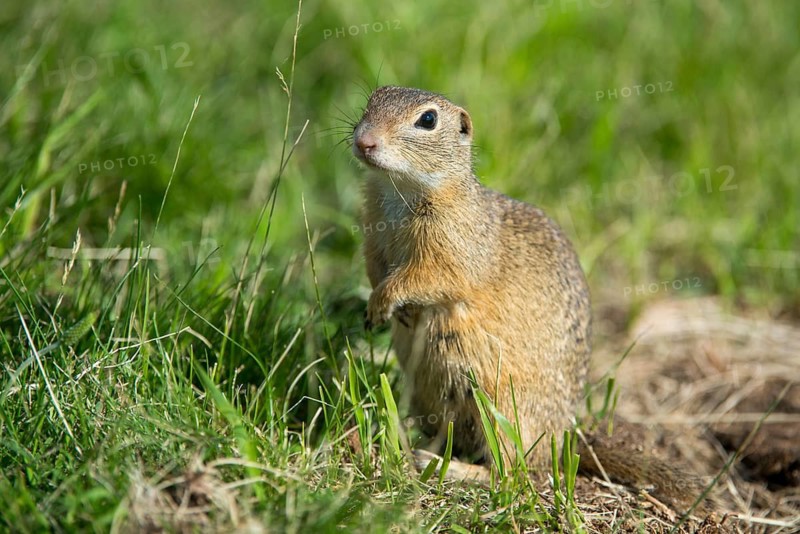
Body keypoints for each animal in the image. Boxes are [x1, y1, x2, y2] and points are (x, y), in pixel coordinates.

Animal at [351, 86, 712, 515]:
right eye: (372, 99)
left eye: (427, 120)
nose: (364, 141)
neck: (400, 188)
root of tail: (563, 439)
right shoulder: (372, 231)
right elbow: (374, 265)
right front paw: (379, 309)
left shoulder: (453, 247)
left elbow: (427, 277)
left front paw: (386, 301)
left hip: (506, 409)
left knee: (510, 472)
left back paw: (445, 465)